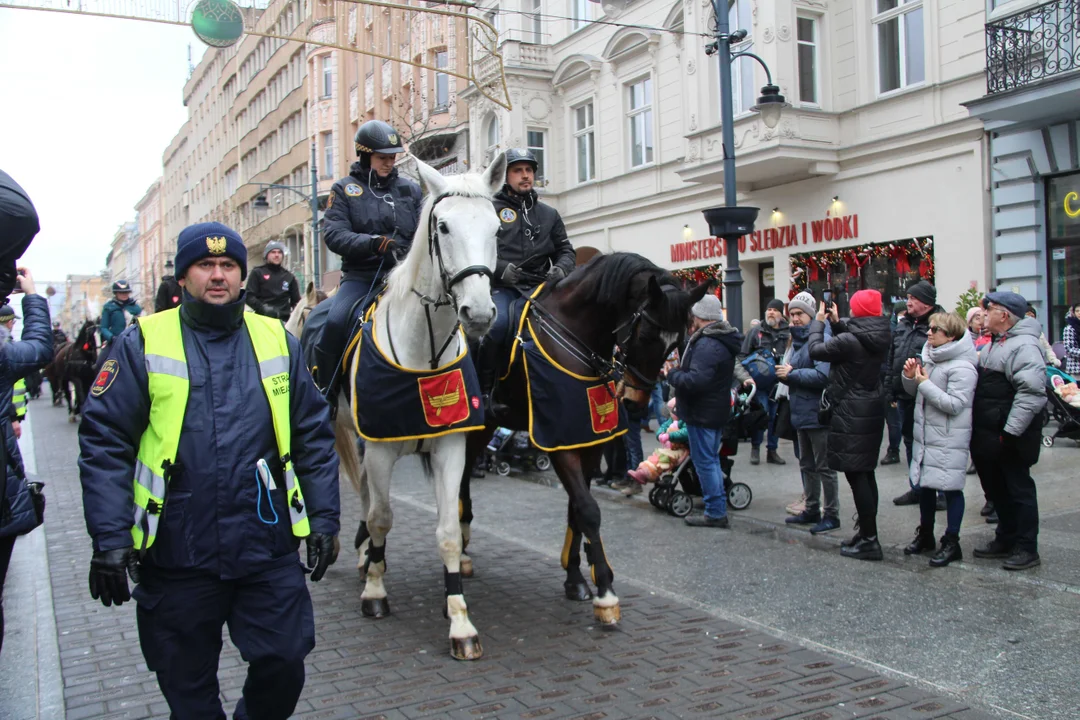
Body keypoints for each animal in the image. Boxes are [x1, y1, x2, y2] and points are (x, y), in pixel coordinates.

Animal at [339, 155, 507, 660]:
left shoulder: (451, 447)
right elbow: (381, 518)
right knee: (363, 499)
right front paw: (375, 591)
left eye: (496, 227)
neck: (422, 352)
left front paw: (460, 622)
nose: (479, 314)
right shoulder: (378, 448)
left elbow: (449, 531)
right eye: (444, 226)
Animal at [453, 253, 699, 626]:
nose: (635, 402)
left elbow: (576, 510)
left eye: (676, 343)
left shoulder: (587, 440)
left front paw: (576, 578)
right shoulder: (558, 442)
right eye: (644, 334)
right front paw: (606, 592)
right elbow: (588, 510)